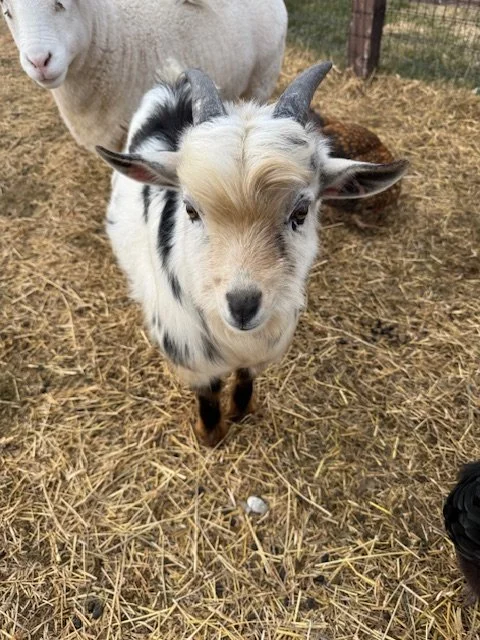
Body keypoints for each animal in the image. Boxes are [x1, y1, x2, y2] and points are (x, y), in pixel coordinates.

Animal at [96, 62, 408, 446]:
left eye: (301, 211)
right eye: (191, 209)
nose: (242, 305)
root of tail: (173, 81)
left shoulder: (264, 347)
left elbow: (245, 378)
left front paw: (241, 412)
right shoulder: (191, 355)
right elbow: (209, 394)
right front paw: (211, 435)